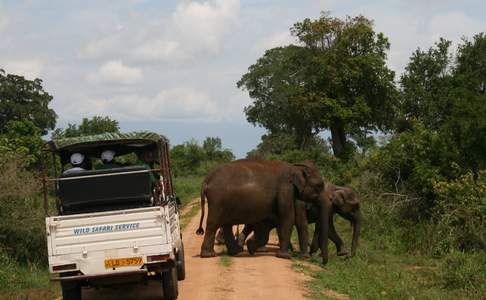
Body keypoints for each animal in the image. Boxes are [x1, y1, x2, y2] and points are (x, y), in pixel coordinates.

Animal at [195, 158, 330, 264]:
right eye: (319, 186)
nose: (321, 262)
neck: (295, 167)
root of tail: (206, 180)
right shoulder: (285, 190)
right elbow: (287, 218)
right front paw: (285, 256)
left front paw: (251, 247)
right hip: (217, 200)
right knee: (213, 223)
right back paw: (209, 255)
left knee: (226, 224)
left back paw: (236, 252)